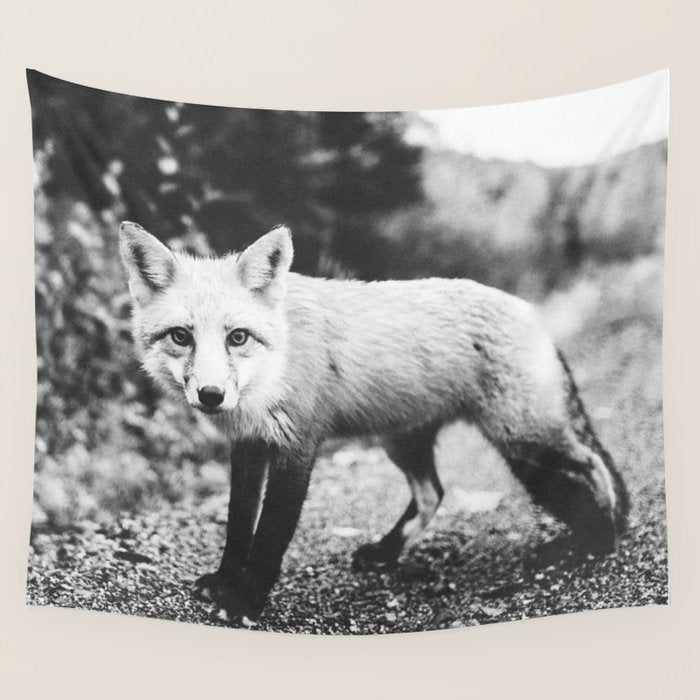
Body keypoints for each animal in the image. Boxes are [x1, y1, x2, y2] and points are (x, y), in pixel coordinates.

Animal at [119, 220, 629, 626]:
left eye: (238, 337)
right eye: (181, 336)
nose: (211, 395)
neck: (273, 368)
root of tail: (530, 311)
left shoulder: (298, 445)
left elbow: (270, 536)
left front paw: (245, 601)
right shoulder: (249, 445)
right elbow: (238, 524)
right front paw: (225, 582)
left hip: (523, 436)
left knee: (591, 463)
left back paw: (597, 541)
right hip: (403, 442)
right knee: (432, 493)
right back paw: (386, 553)